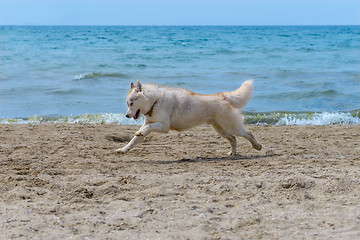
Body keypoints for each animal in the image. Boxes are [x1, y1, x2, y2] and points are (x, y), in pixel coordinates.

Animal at [117, 79, 262, 157]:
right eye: (127, 104)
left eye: (131, 103)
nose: (126, 115)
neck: (155, 101)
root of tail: (222, 96)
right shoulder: (152, 123)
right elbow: (134, 140)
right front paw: (124, 149)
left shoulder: (164, 126)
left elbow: (147, 127)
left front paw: (141, 132)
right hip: (221, 129)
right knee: (233, 139)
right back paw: (232, 154)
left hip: (232, 126)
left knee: (248, 133)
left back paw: (257, 146)